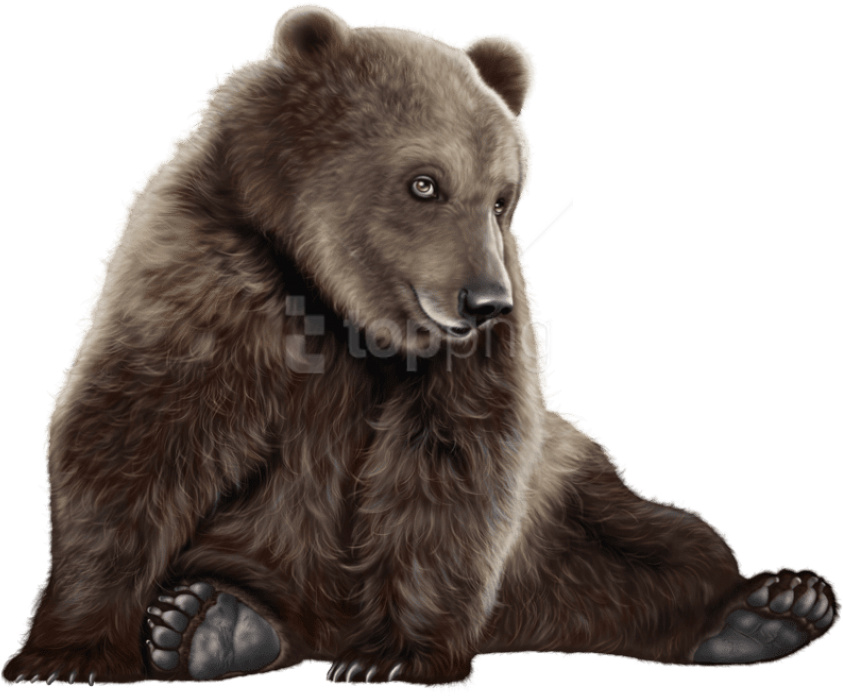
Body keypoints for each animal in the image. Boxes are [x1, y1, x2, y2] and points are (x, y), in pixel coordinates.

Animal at [3, 4, 838, 687]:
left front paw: (393, 655)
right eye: (424, 182)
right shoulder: (210, 275)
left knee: (647, 542)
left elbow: (448, 465)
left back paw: (769, 609)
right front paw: (66, 653)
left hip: (562, 503)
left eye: (503, 195)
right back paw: (209, 620)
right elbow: (137, 435)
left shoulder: (465, 360)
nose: (482, 300)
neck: (341, 304)